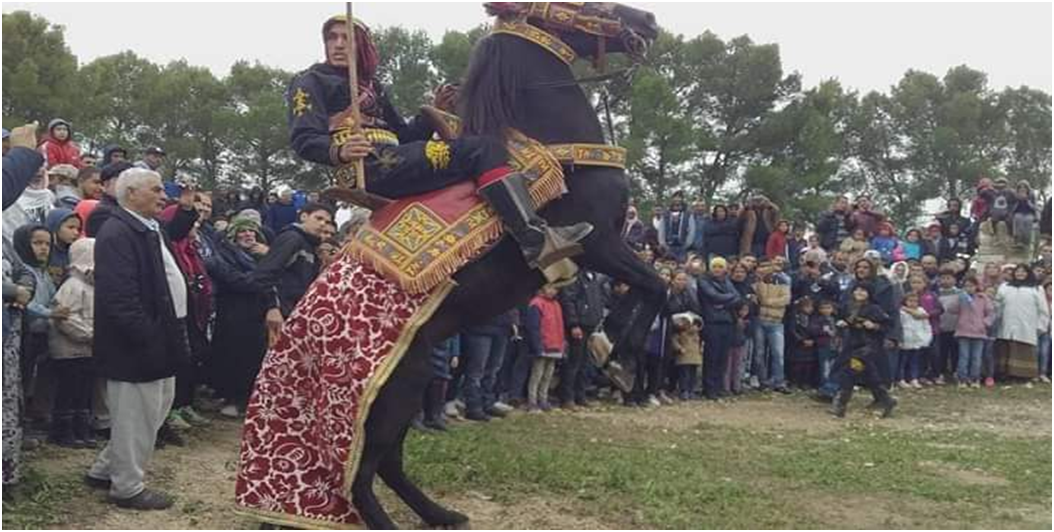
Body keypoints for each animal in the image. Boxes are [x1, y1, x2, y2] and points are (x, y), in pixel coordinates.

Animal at [349, 3, 661, 526]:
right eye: (584, 6)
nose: (647, 22)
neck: (558, 147)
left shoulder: (605, 250)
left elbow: (651, 289)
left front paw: (612, 347)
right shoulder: (598, 244)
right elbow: (660, 287)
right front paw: (617, 355)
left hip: (408, 382)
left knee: (387, 465)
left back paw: (441, 514)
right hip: (392, 393)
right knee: (360, 477)